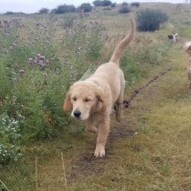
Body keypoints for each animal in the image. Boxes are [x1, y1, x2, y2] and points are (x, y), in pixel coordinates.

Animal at [63, 17, 135, 157]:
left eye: (87, 99)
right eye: (74, 99)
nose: (76, 113)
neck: (94, 108)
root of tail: (112, 62)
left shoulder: (105, 119)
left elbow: (102, 135)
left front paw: (99, 149)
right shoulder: (88, 116)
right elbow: (90, 128)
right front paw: (95, 130)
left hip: (120, 93)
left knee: (119, 105)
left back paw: (119, 116)